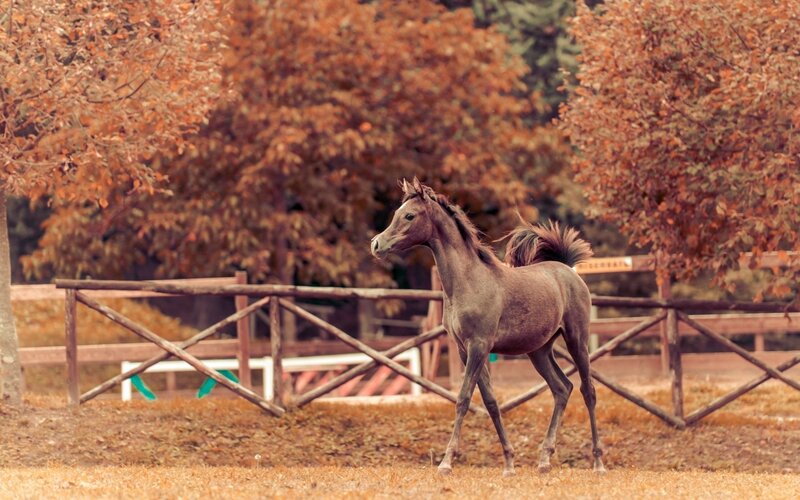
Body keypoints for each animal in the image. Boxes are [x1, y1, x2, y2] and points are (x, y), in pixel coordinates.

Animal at [371, 178, 605, 476]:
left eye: (409, 215)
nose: (376, 244)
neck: (468, 282)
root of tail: (567, 270)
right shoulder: (465, 350)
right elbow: (491, 402)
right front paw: (509, 464)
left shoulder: (479, 346)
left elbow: (463, 399)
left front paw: (446, 463)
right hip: (539, 351)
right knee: (562, 389)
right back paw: (544, 460)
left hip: (577, 340)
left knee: (588, 391)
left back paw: (598, 462)